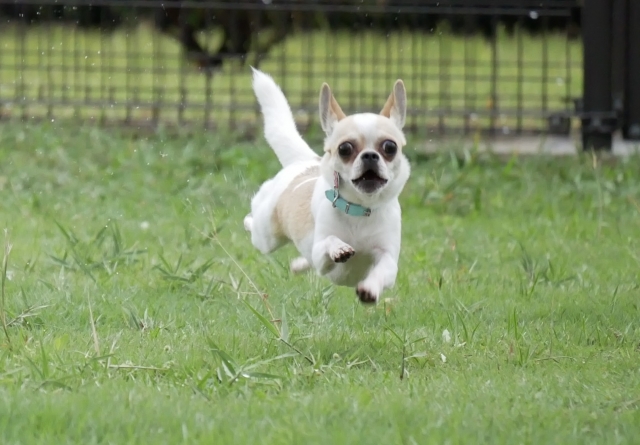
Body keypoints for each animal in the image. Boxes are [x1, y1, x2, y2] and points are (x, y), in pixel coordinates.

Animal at [245, 69, 410, 304]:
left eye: (390, 147)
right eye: (345, 148)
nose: (370, 155)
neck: (359, 209)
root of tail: (307, 162)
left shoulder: (387, 258)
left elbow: (382, 271)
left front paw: (369, 290)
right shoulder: (320, 254)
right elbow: (329, 242)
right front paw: (339, 248)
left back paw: (298, 265)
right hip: (267, 234)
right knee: (253, 224)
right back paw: (250, 221)